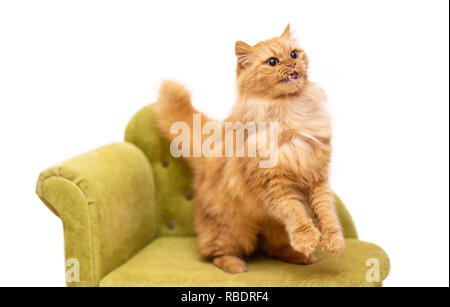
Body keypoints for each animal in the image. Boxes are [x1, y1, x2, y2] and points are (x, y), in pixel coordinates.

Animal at [155, 24, 344, 274]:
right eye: (273, 61)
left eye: (294, 54)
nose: (292, 64)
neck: (290, 112)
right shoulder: (274, 184)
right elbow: (295, 212)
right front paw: (307, 237)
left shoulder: (317, 177)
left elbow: (326, 212)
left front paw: (332, 240)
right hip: (233, 230)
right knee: (214, 252)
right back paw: (235, 265)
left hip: (274, 229)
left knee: (274, 248)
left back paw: (299, 256)